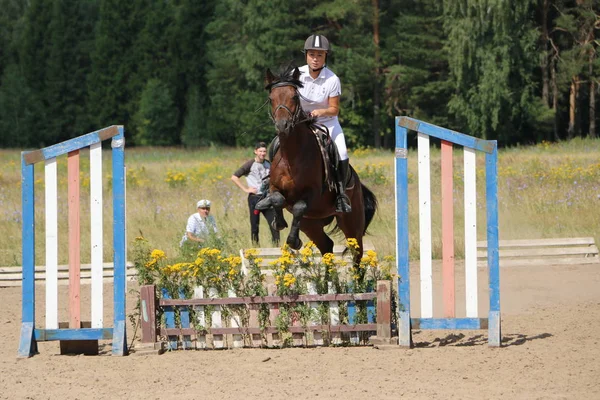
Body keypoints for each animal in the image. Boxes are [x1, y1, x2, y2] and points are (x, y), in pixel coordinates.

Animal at [255, 64, 378, 268]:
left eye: (294, 97)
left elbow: (298, 207)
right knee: (326, 245)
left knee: (356, 253)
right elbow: (277, 200)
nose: (283, 126)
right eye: (271, 98)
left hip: (351, 222)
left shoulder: (312, 194)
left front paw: (293, 241)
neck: (292, 156)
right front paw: (279, 224)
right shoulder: (274, 187)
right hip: (311, 223)